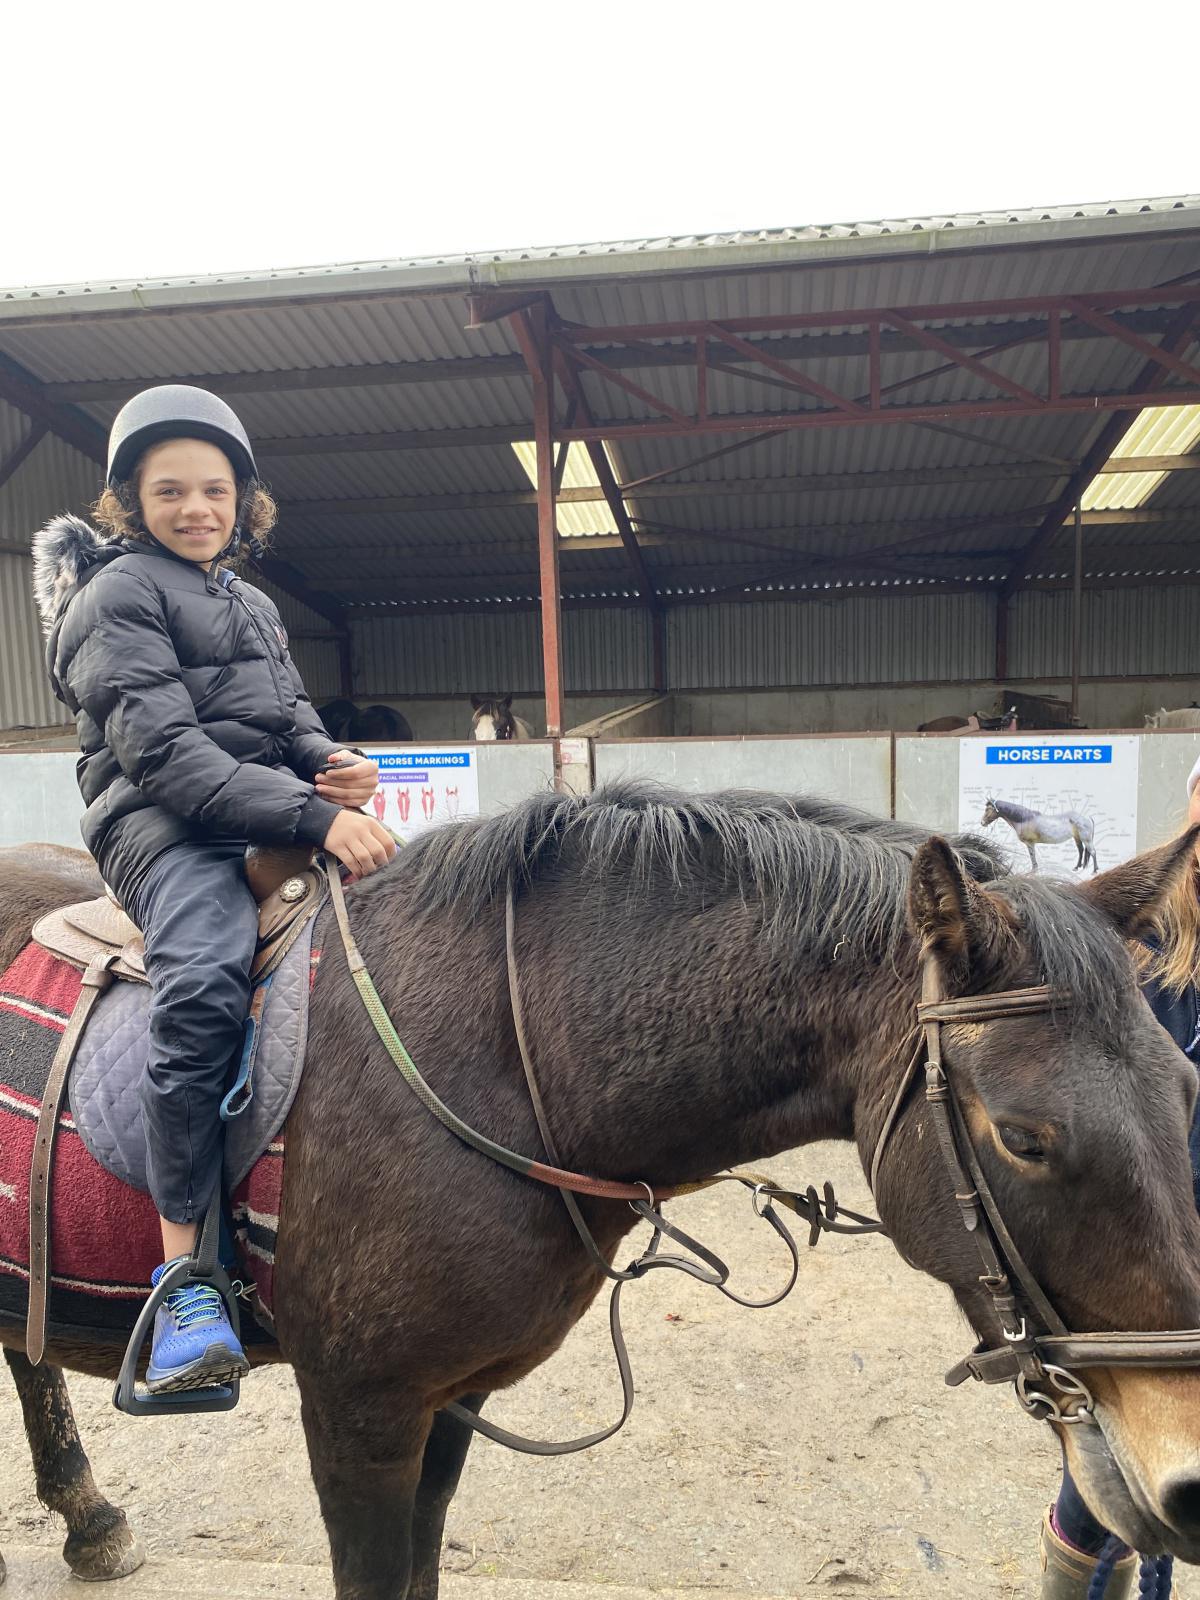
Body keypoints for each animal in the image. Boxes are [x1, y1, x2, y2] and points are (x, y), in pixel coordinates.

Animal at [2, 783, 1200, 1597]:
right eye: (1026, 1138)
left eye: (1185, 1087)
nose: (1188, 1476)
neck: (503, 1059)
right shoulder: (358, 1408)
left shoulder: (447, 1401)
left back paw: (90, 1518)